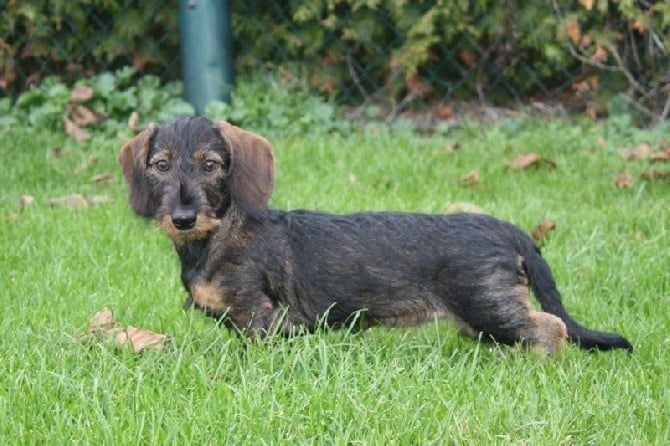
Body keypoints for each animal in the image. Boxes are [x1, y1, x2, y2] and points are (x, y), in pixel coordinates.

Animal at [121, 116, 636, 354]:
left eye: (211, 165)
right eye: (160, 165)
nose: (182, 217)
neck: (218, 237)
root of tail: (508, 231)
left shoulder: (257, 316)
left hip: (488, 305)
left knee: (551, 328)